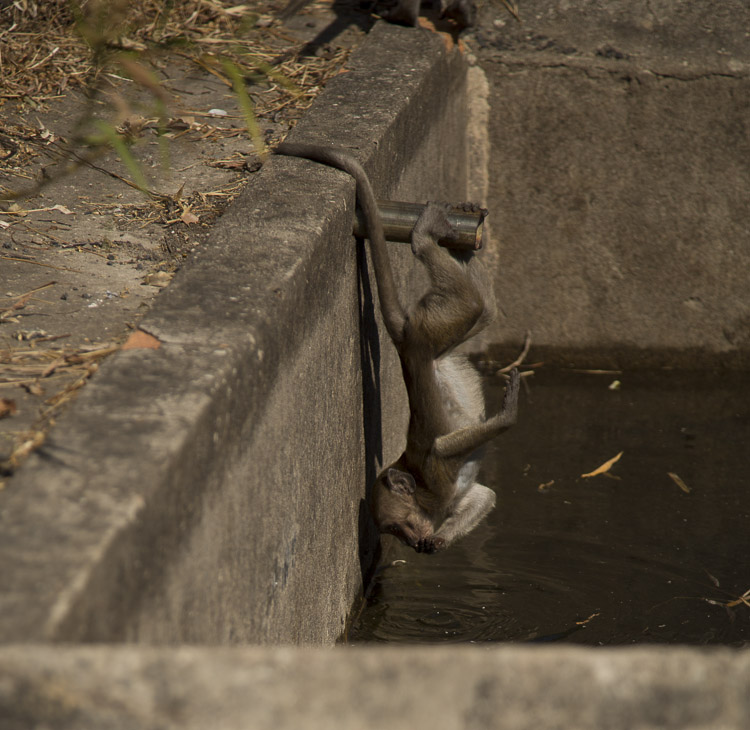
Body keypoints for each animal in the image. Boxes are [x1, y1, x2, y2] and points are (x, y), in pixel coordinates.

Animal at [275, 143, 519, 553]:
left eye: (397, 525)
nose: (411, 542)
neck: (426, 497)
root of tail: (405, 340)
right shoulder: (445, 495)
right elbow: (484, 496)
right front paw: (437, 542)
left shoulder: (436, 480)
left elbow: (441, 452)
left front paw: (508, 416)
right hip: (434, 336)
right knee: (481, 310)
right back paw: (465, 243)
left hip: (426, 329)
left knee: (471, 303)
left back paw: (423, 237)